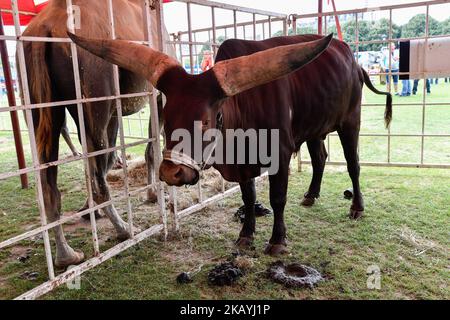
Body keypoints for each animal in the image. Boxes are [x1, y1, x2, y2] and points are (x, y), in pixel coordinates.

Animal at [22, 0, 175, 268]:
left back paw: (66, 255)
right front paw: (155, 194)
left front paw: (89, 208)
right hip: (95, 81)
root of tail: (45, 27)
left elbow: (110, 159)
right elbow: (148, 150)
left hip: (44, 99)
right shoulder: (157, 95)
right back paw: (124, 229)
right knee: (97, 158)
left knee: (51, 173)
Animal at [68, 30, 392, 255]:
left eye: (206, 120)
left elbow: (277, 199)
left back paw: (357, 207)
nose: (171, 173)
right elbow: (248, 198)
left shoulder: (280, 155)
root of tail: (352, 61)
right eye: (165, 119)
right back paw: (311, 195)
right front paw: (246, 235)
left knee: (353, 165)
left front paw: (277, 241)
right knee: (320, 157)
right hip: (314, 127)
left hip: (350, 122)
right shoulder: (243, 164)